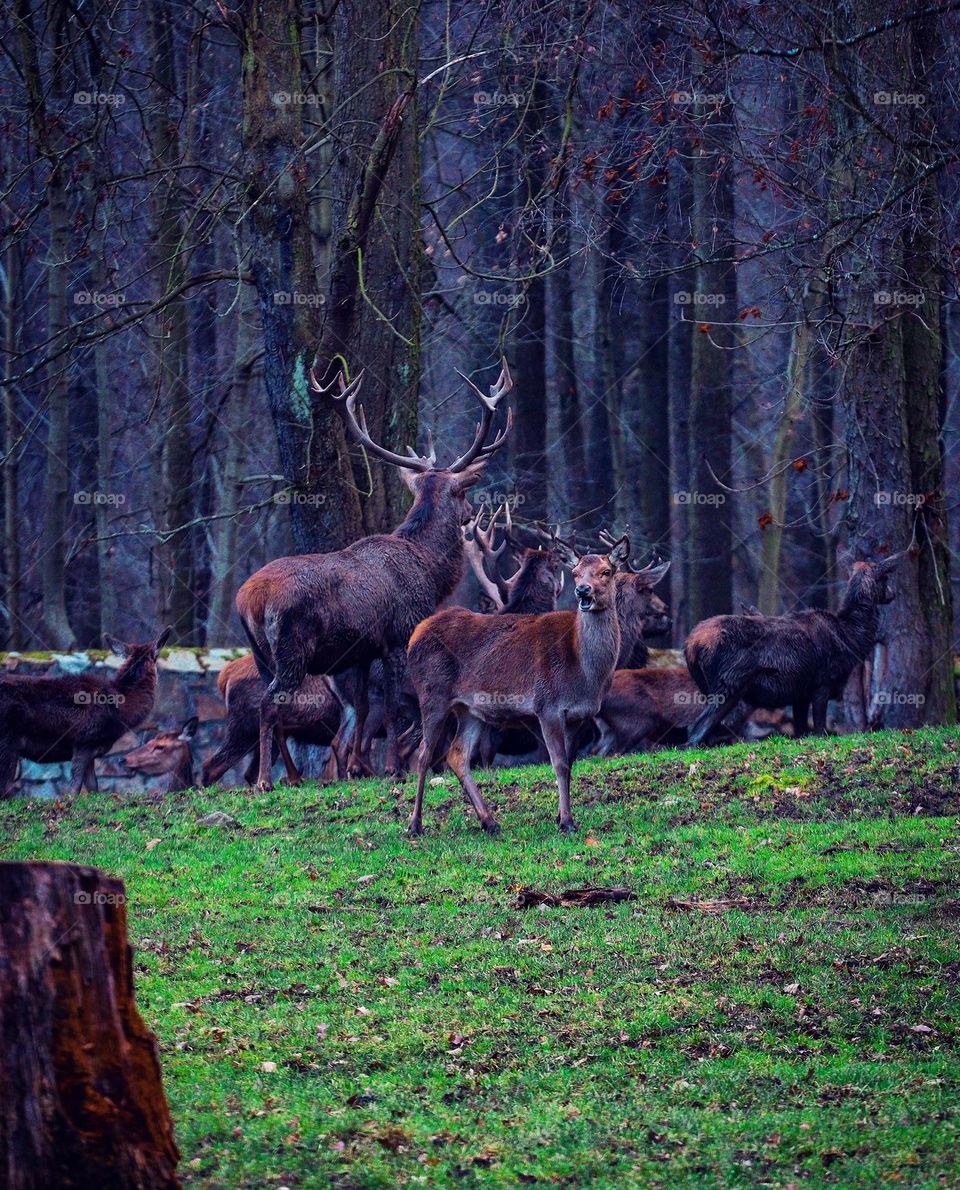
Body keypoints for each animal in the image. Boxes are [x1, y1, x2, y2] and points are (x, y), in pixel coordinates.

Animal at [0, 627, 172, 797]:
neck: (122, 710)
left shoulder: (91, 750)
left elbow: (93, 787)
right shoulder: (84, 741)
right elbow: (74, 788)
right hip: (7, 740)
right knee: (5, 787)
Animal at [236, 361, 513, 790]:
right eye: (464, 493)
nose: (469, 516)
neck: (429, 571)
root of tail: (249, 599)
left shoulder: (362, 651)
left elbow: (366, 708)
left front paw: (354, 768)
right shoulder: (399, 635)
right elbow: (397, 707)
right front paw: (393, 768)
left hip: (260, 653)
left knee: (276, 708)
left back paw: (293, 776)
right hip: (291, 648)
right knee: (269, 704)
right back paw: (266, 779)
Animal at [407, 536, 630, 836]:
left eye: (606, 572)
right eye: (575, 573)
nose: (583, 591)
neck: (584, 671)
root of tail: (414, 635)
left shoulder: (579, 716)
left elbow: (570, 763)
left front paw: (563, 817)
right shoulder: (547, 706)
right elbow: (559, 763)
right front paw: (567, 822)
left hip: (470, 709)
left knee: (457, 755)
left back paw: (489, 821)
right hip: (432, 694)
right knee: (423, 754)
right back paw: (415, 825)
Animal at [684, 554, 901, 745]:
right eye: (885, 579)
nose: (893, 594)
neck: (849, 637)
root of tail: (691, 645)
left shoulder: (801, 693)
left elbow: (801, 730)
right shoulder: (822, 681)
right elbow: (820, 729)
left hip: (709, 687)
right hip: (728, 683)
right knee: (695, 729)